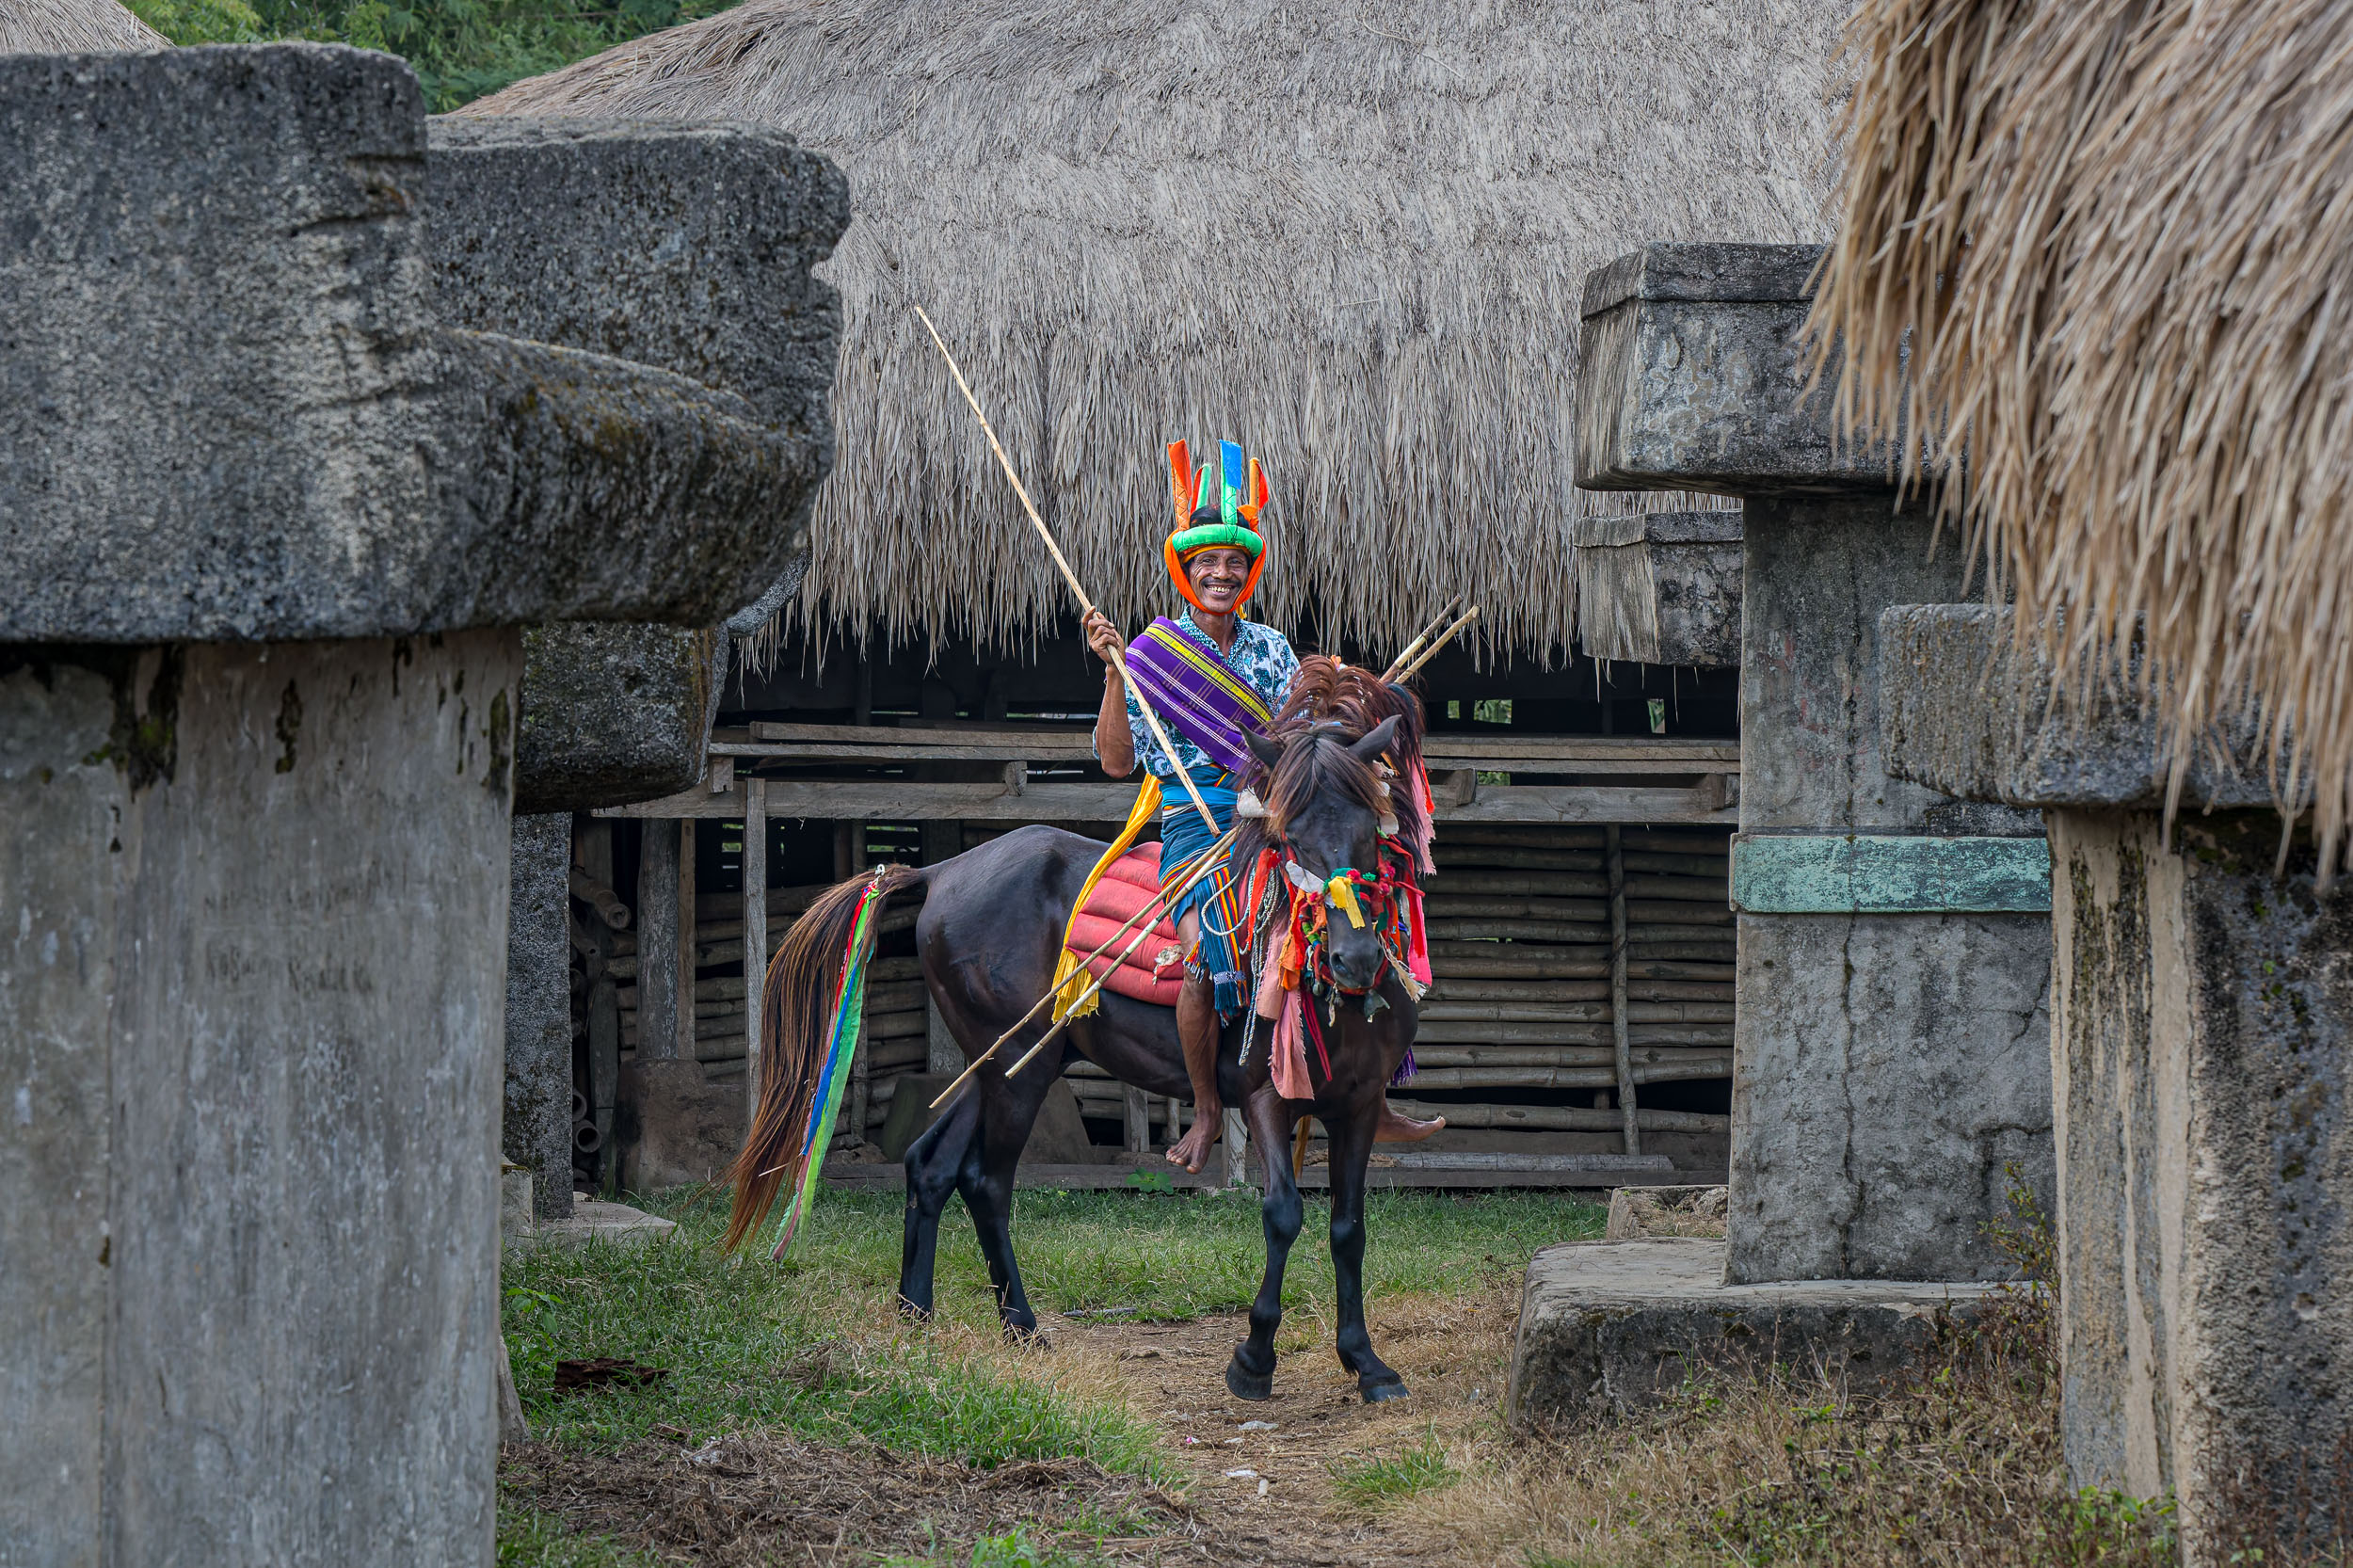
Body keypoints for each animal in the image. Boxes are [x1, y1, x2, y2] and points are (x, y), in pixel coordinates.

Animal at [722, 660, 1427, 1405]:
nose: (1354, 957)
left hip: (997, 1063)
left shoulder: (1359, 1103)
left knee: (930, 1164)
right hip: (1019, 1069)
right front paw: (1254, 1358)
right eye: (1287, 838)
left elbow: (1348, 1228)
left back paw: (916, 1310)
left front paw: (1367, 1362)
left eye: (1369, 828)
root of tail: (943, 872)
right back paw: (1022, 1325)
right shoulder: (1266, 1095)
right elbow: (1285, 1213)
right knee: (985, 1182)